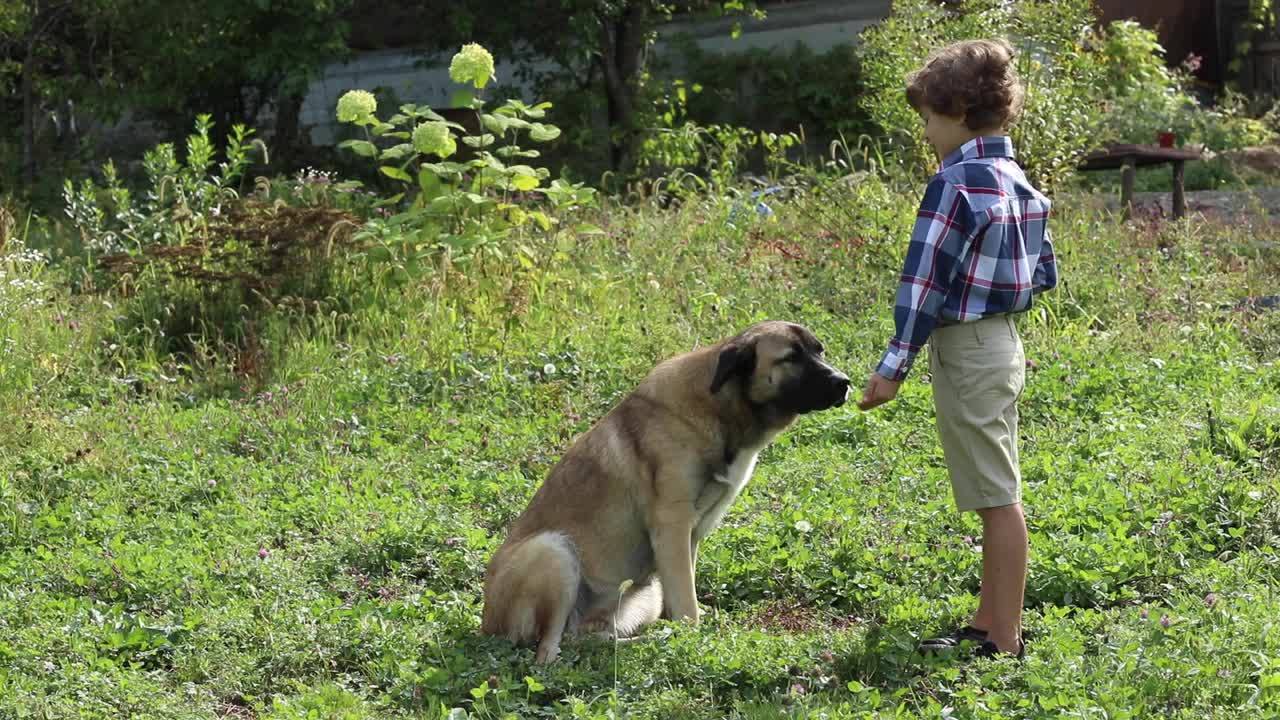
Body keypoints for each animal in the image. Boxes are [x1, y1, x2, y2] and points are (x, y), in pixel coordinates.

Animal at [481, 322, 849, 661]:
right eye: (791, 357)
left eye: (819, 350)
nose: (844, 382)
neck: (721, 407)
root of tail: (487, 625)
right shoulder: (672, 526)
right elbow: (688, 604)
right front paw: (695, 640)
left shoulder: (691, 535)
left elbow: (684, 596)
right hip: (553, 550)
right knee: (550, 650)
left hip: (644, 592)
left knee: (590, 639)